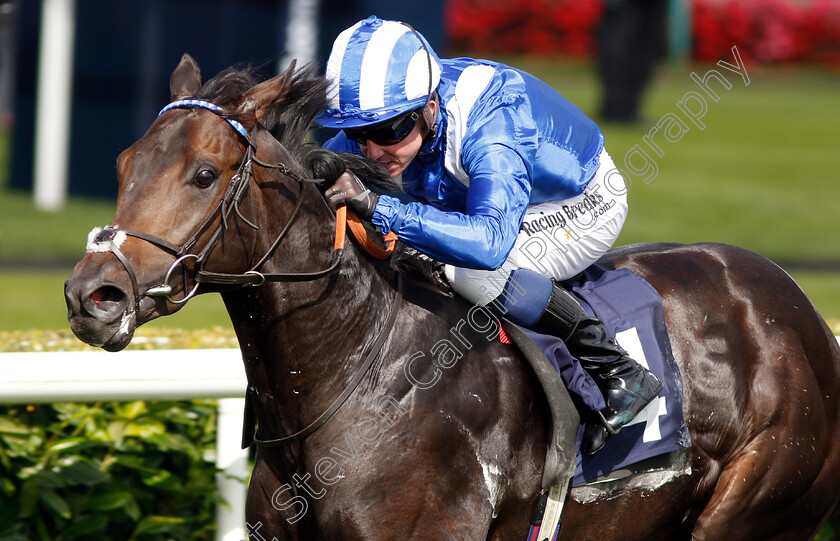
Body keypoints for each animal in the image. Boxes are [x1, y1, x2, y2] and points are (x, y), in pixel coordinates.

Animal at [64, 57, 840, 536]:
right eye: (124, 163)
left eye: (203, 173)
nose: (91, 295)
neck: (358, 376)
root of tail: (801, 314)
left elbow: (488, 249)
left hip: (758, 505)